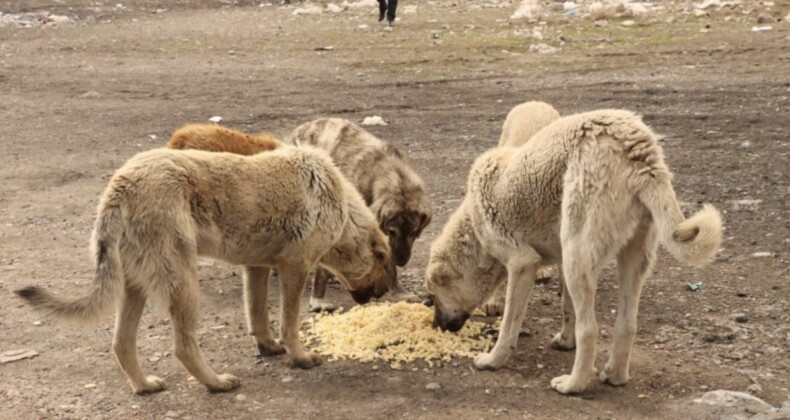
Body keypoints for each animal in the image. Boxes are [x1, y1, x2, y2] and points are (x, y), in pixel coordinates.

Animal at [14, 146, 392, 396]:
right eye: (383, 267)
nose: (384, 293)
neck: (340, 207)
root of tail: (120, 186)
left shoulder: (256, 268)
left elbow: (257, 315)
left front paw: (268, 346)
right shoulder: (294, 271)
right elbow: (289, 324)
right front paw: (299, 357)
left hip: (136, 285)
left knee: (122, 343)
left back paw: (144, 385)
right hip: (183, 284)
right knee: (183, 346)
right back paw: (216, 383)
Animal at [288, 118, 434, 312]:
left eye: (413, 232)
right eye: (392, 231)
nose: (402, 261)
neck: (390, 173)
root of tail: (301, 127)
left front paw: (398, 291)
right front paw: (318, 299)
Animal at [426, 109, 724, 394]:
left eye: (433, 297)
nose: (436, 326)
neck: (473, 231)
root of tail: (639, 149)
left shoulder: (523, 263)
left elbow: (510, 323)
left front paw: (493, 360)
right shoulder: (559, 260)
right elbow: (566, 307)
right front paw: (565, 341)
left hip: (577, 255)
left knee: (590, 329)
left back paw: (573, 384)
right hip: (624, 258)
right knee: (627, 324)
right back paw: (614, 376)